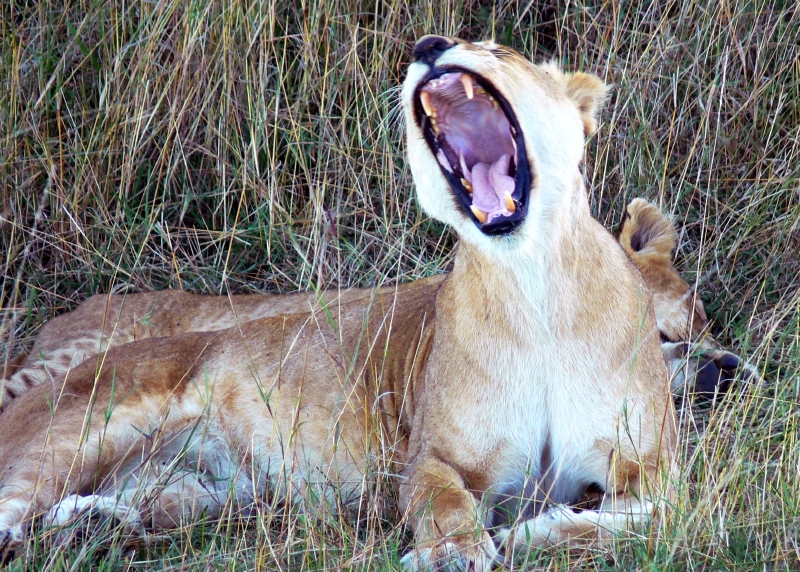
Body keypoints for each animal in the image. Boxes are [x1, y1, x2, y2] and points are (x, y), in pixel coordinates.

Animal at [1, 36, 676, 569]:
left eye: (498, 50)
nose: (428, 44)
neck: (533, 285)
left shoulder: (657, 473)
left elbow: (640, 521)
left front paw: (519, 537)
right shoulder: (430, 456)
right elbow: (443, 499)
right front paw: (452, 552)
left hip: (210, 495)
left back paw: (93, 527)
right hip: (76, 435)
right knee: (14, 512)